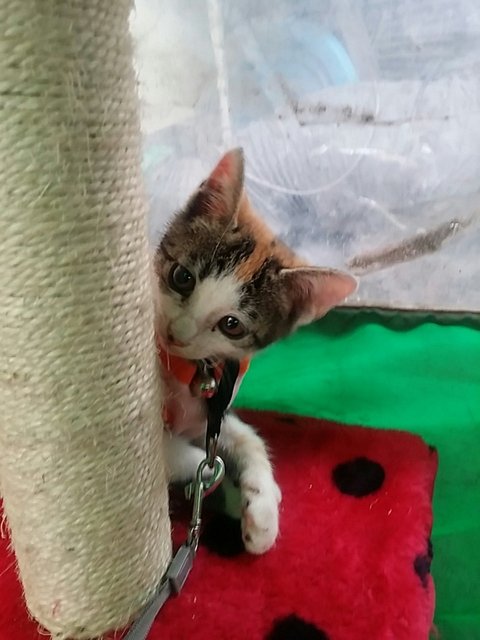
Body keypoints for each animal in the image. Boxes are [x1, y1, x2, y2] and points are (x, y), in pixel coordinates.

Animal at [152, 148, 357, 555]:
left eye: (232, 325)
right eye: (182, 277)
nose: (175, 334)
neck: (186, 370)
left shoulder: (211, 407)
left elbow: (245, 437)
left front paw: (260, 504)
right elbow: (168, 452)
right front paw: (211, 475)